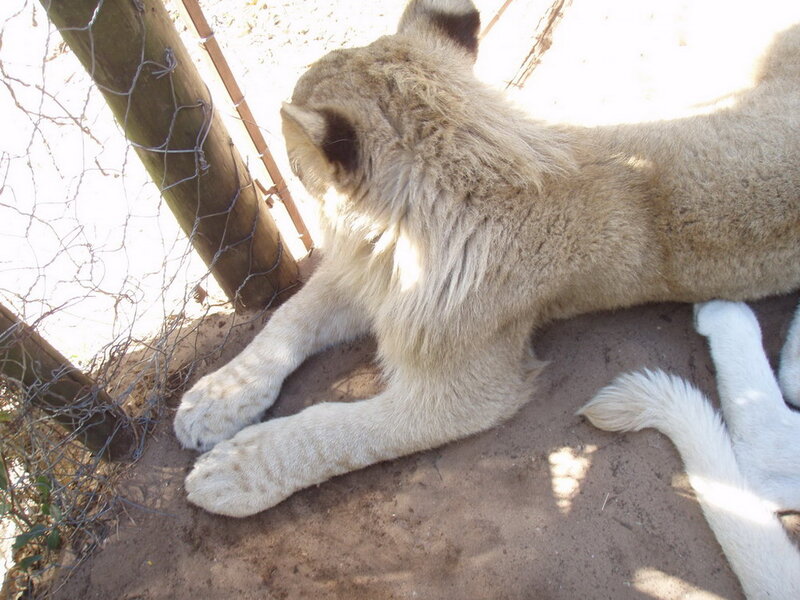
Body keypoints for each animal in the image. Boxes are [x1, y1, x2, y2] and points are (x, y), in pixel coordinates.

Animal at [174, 0, 800, 517]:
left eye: (287, 154)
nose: (291, 170)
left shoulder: (467, 391)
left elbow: (341, 428)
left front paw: (236, 472)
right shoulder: (371, 274)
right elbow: (290, 317)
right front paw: (216, 399)